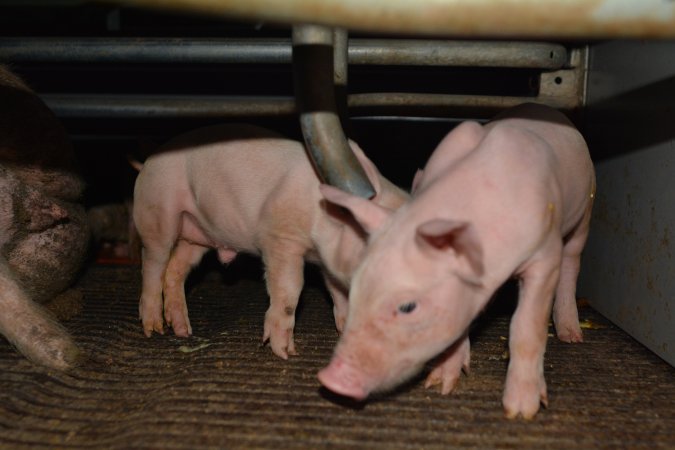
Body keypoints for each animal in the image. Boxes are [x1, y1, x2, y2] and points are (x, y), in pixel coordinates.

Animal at [132, 125, 406, 360]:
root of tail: (147, 162)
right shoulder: (279, 237)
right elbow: (289, 290)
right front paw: (286, 352)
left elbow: (338, 294)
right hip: (157, 210)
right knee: (153, 262)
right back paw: (154, 328)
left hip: (197, 236)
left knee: (175, 269)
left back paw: (182, 331)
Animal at [320, 103, 596, 420]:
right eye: (354, 290)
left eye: (408, 306)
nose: (329, 378)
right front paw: (440, 384)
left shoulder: (545, 255)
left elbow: (527, 326)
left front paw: (521, 410)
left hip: (585, 209)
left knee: (572, 262)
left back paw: (572, 336)